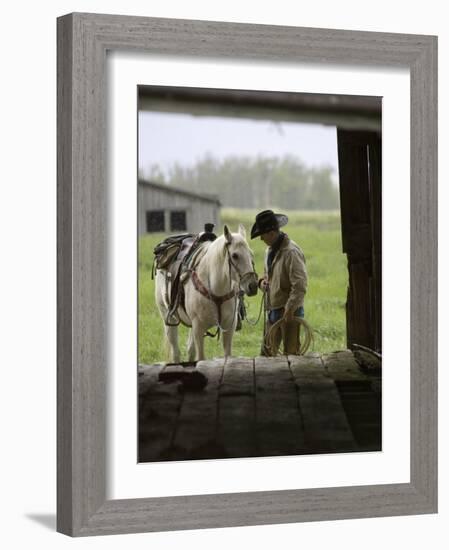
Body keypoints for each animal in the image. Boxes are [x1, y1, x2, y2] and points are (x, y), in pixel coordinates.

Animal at [155, 226, 258, 364]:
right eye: (235, 255)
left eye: (251, 254)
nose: (253, 286)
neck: (216, 288)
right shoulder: (198, 328)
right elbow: (201, 358)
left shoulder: (229, 327)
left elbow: (227, 356)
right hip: (168, 317)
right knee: (176, 353)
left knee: (190, 351)